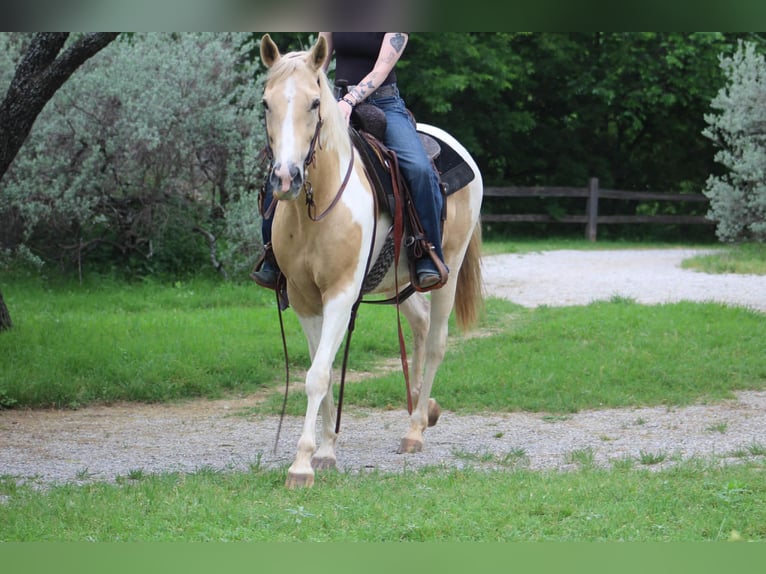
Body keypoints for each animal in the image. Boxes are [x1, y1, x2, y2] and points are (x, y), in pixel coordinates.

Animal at [259, 34, 484, 488]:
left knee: (436, 341)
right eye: (265, 103)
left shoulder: (342, 294)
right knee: (418, 325)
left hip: (447, 272)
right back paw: (425, 409)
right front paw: (326, 450)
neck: (317, 206)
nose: (286, 178)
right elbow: (322, 371)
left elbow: (318, 375)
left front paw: (302, 463)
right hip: (400, 279)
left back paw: (415, 429)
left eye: (314, 103)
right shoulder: (305, 299)